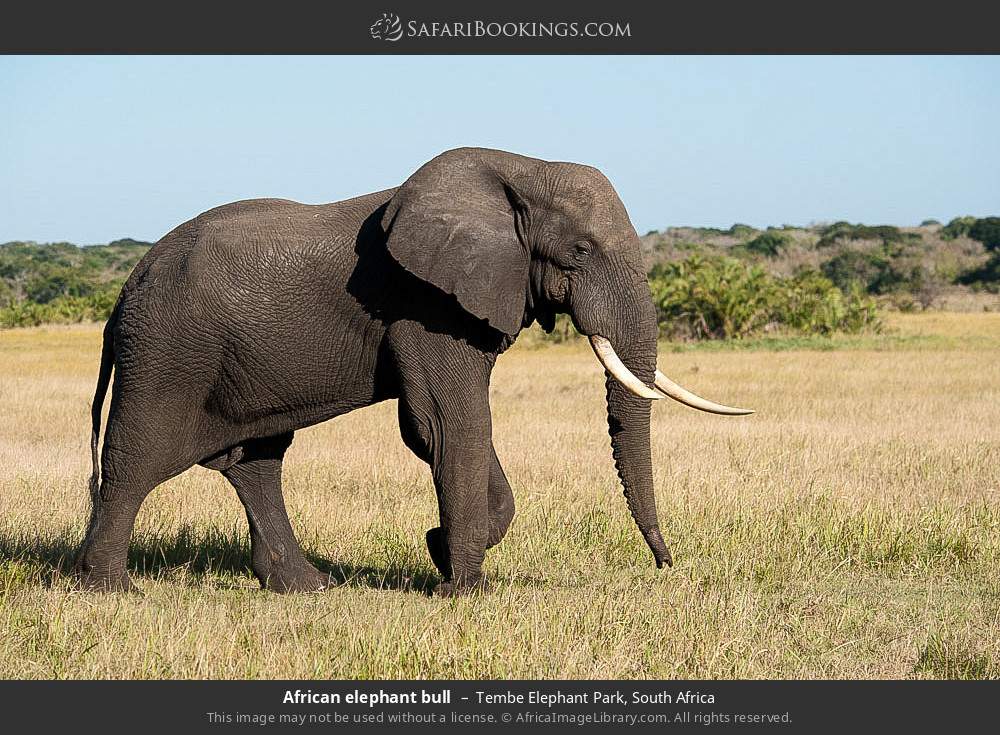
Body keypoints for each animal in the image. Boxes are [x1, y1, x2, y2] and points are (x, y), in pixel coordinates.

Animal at [74, 147, 752, 596]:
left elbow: (444, 428)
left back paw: (307, 587)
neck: (517, 169)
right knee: (137, 458)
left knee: (256, 461)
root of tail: (126, 286)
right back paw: (109, 589)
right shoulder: (426, 304)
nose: (666, 563)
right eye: (580, 251)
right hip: (166, 351)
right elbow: (446, 423)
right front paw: (463, 586)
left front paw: (441, 551)